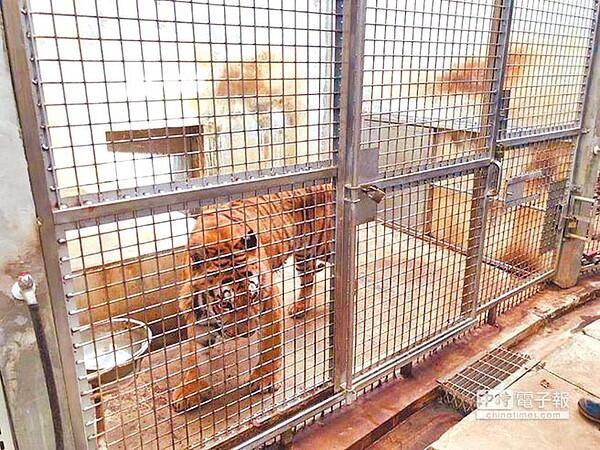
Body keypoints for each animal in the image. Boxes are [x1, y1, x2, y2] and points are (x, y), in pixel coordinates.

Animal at [172, 182, 332, 412]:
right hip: (304, 254)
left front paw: (265, 379)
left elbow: (270, 344)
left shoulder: (270, 298)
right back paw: (300, 307)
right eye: (225, 304)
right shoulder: (198, 315)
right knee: (308, 278)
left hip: (324, 245)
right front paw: (189, 390)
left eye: (253, 296)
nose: (247, 333)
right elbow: (195, 354)